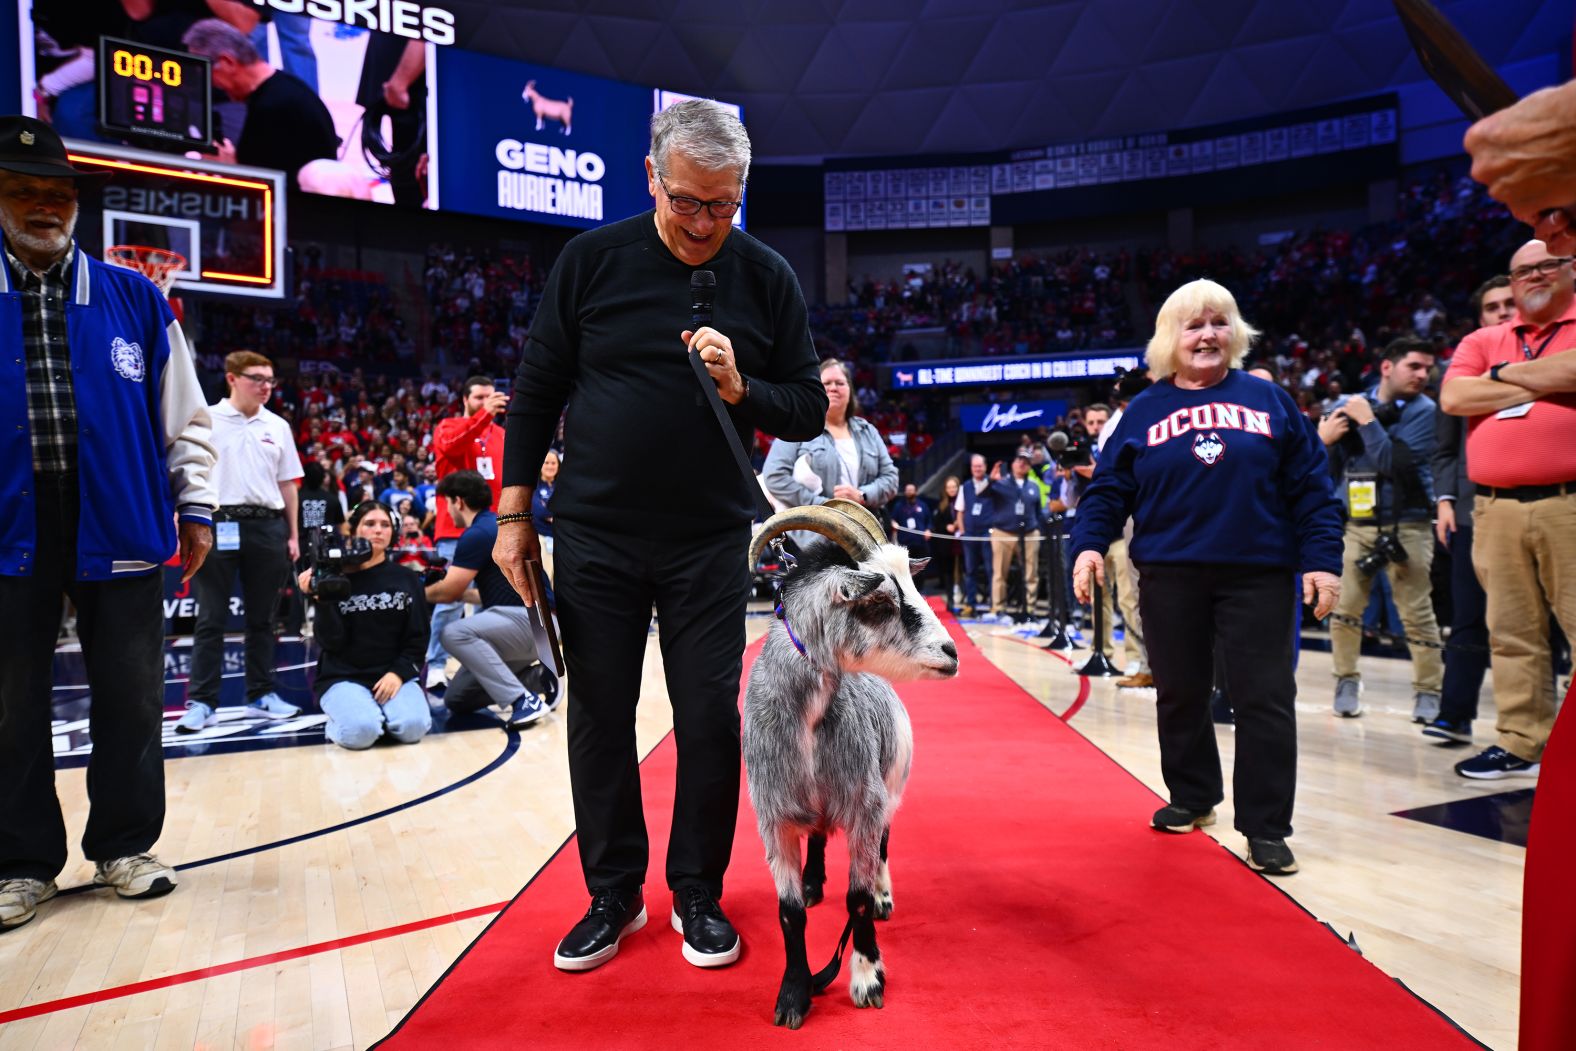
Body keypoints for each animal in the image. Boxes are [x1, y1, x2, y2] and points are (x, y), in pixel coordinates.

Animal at [740, 501, 951, 1027]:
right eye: (880, 602)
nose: (952, 652)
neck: (810, 730)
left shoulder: (865, 805)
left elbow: (855, 900)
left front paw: (867, 976)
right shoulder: (773, 820)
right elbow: (789, 912)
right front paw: (794, 993)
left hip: (891, 785)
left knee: (884, 844)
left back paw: (882, 895)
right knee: (817, 833)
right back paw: (815, 879)